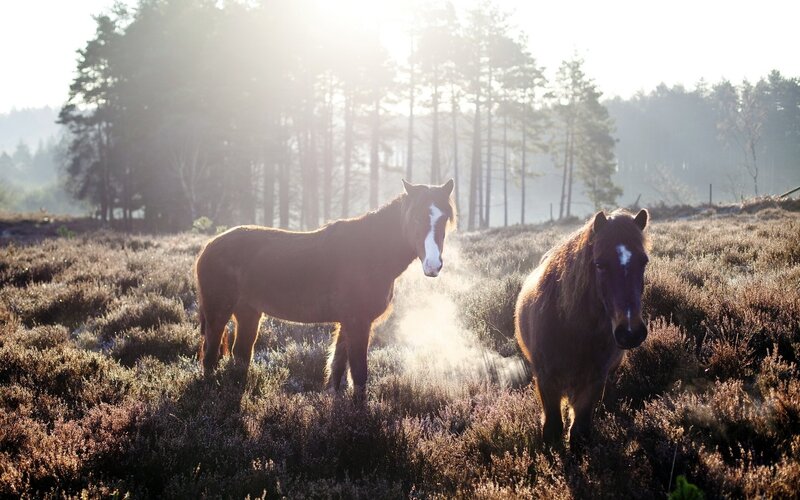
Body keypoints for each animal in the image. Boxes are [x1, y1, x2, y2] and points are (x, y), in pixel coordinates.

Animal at [194, 179, 456, 399]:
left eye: (444, 219)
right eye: (416, 218)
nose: (433, 265)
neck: (369, 251)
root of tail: (208, 247)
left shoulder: (348, 323)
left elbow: (338, 368)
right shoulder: (358, 322)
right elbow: (359, 373)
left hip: (248, 314)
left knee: (240, 355)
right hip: (218, 313)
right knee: (209, 357)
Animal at [515, 209, 649, 448]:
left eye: (643, 262)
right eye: (599, 264)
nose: (631, 332)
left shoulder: (594, 380)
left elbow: (579, 432)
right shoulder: (546, 380)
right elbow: (552, 429)